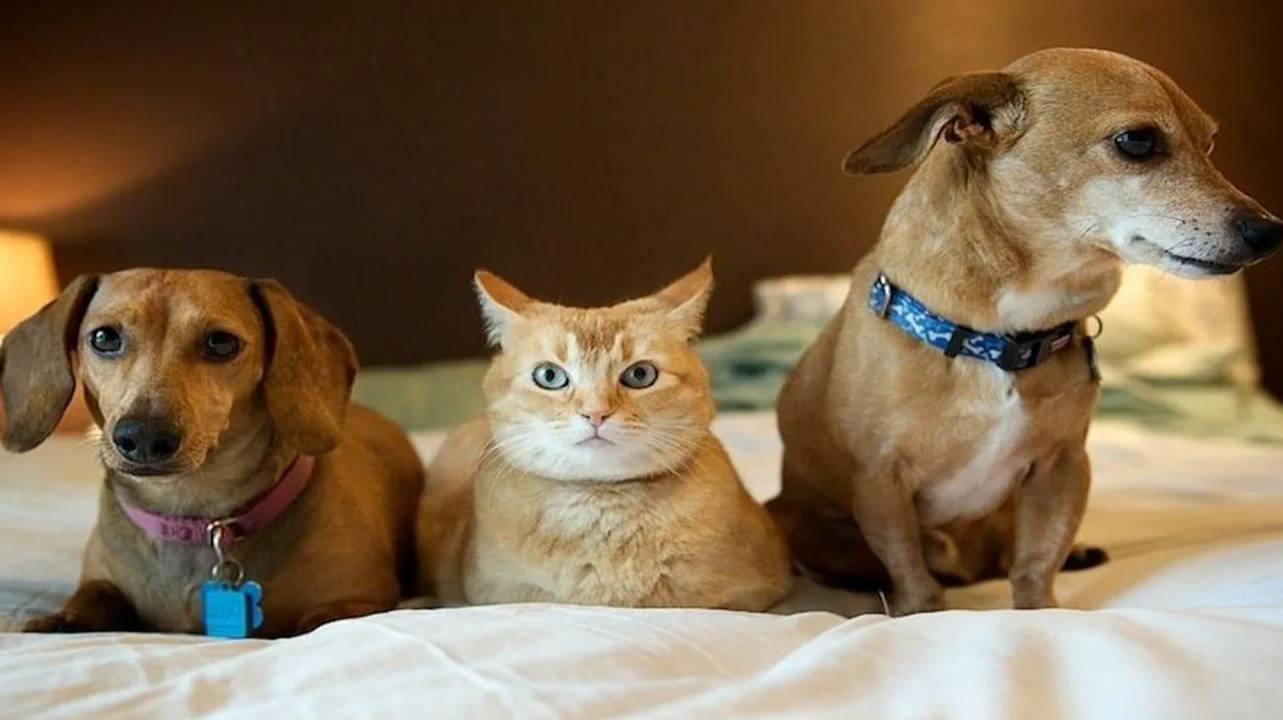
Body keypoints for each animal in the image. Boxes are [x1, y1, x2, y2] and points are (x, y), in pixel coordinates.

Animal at [0, 269, 424, 636]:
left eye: (221, 342)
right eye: (104, 337)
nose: (143, 436)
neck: (195, 516)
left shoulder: (361, 599)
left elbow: (323, 620)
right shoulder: (100, 577)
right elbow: (95, 593)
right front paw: (64, 618)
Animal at [768, 48, 1281, 615]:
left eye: (1209, 144)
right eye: (1137, 141)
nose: (1271, 232)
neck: (998, 340)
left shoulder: (1062, 468)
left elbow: (1036, 562)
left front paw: (1043, 608)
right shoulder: (881, 481)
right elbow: (913, 572)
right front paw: (918, 610)